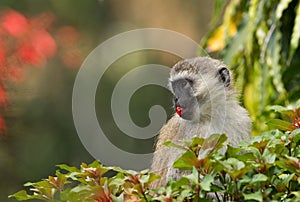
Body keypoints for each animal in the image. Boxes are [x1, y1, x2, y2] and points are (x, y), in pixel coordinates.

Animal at [150, 56, 251, 188]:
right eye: (176, 87)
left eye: (184, 84)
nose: (176, 98)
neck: (212, 116)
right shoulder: (190, 131)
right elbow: (176, 175)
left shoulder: (242, 119)